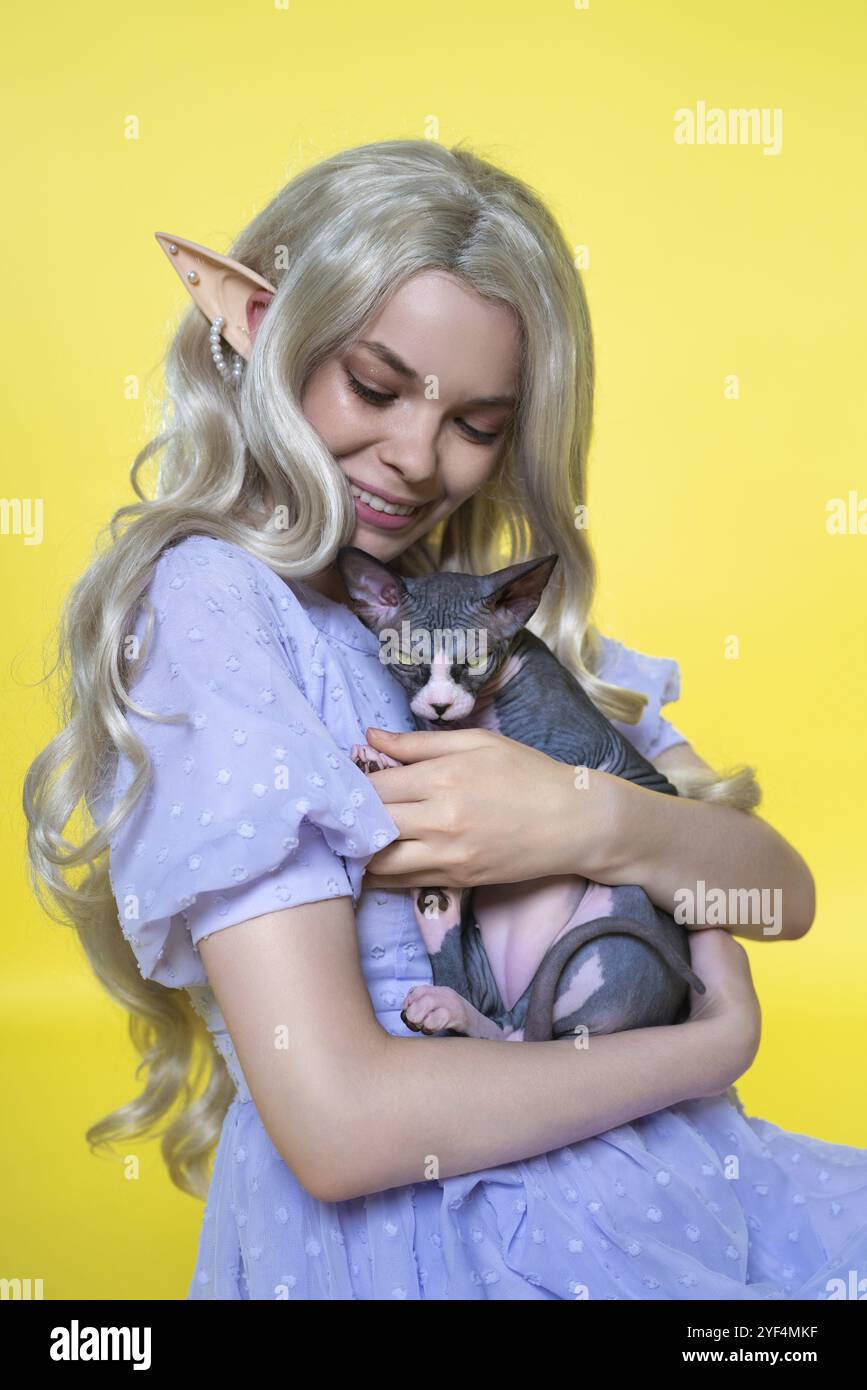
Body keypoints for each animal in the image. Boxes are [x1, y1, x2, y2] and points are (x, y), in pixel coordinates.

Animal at [333, 542, 705, 1045]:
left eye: (474, 661)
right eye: (408, 658)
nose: (440, 705)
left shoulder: (579, 750)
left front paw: (397, 763)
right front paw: (379, 759)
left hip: (615, 913)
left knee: (520, 1033)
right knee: (489, 1010)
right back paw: (440, 936)